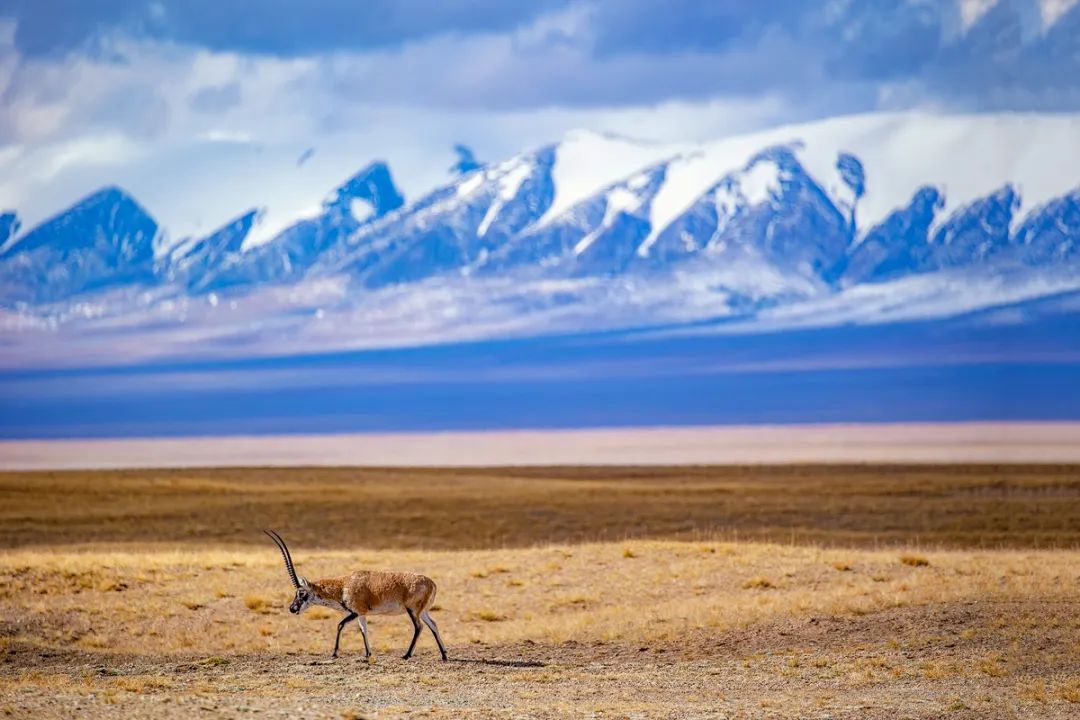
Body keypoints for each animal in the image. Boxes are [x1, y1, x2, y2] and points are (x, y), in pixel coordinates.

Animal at [264, 533, 447, 660]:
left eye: (301, 593)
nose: (292, 608)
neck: (343, 585)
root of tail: (432, 583)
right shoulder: (361, 614)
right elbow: (363, 630)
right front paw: (367, 654)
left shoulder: (355, 612)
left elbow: (340, 625)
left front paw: (334, 653)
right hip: (422, 611)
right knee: (433, 624)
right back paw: (444, 655)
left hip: (412, 611)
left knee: (419, 627)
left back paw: (407, 655)